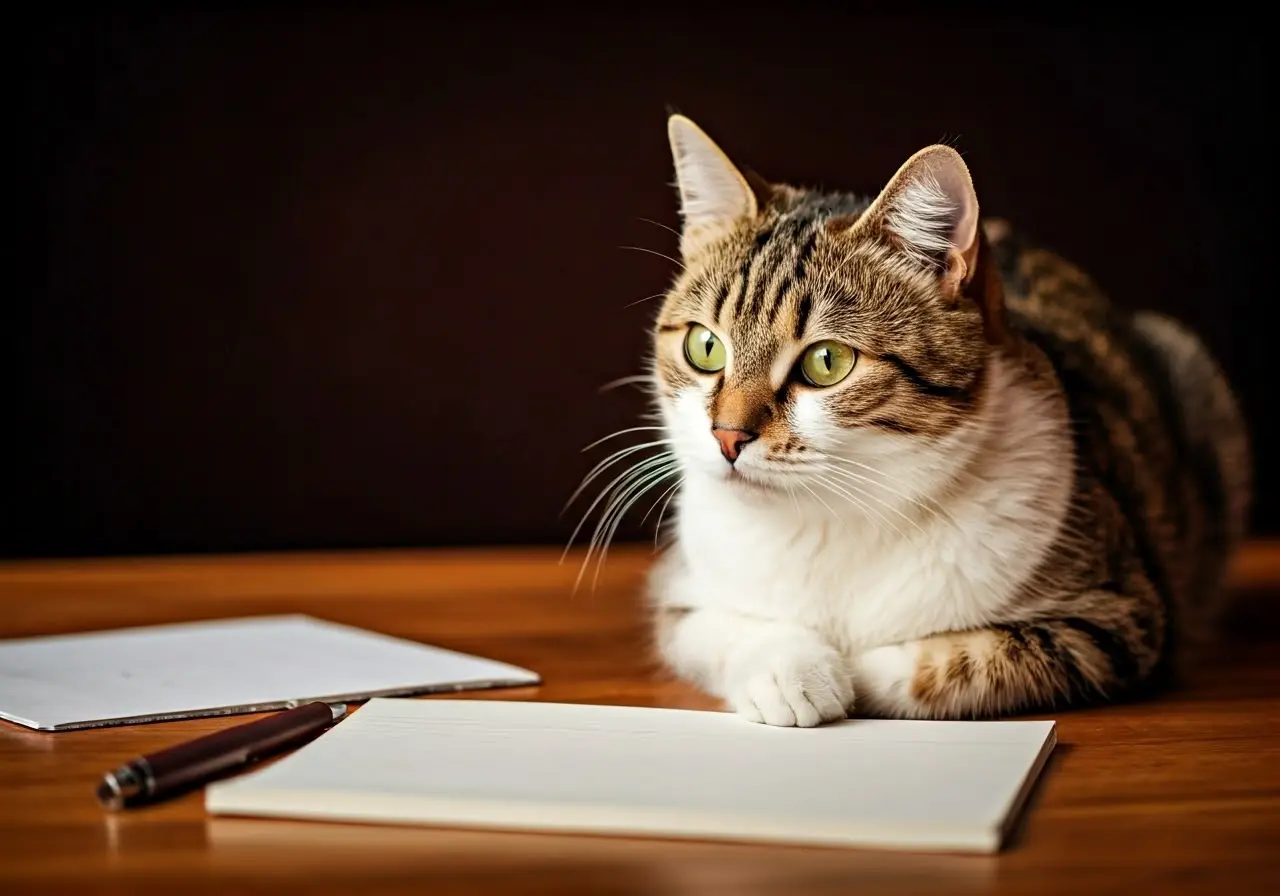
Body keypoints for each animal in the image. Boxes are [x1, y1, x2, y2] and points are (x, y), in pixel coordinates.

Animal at [640, 115, 1249, 727]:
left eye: (826, 361)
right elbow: (713, 628)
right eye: (705, 347)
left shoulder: (1116, 620)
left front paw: (849, 673)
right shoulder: (680, 588)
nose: (726, 435)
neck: (829, 518)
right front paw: (788, 669)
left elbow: (951, 664)